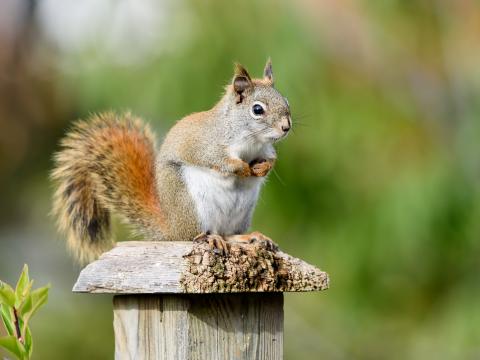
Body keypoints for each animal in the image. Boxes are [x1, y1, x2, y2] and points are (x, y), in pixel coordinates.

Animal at [51, 58, 292, 262]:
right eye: (257, 109)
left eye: (286, 101)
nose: (286, 127)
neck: (251, 139)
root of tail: (171, 229)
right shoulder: (206, 144)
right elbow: (216, 159)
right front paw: (242, 168)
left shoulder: (266, 148)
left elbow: (271, 159)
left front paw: (262, 168)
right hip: (192, 205)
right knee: (196, 235)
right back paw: (211, 238)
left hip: (242, 213)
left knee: (228, 233)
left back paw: (249, 237)